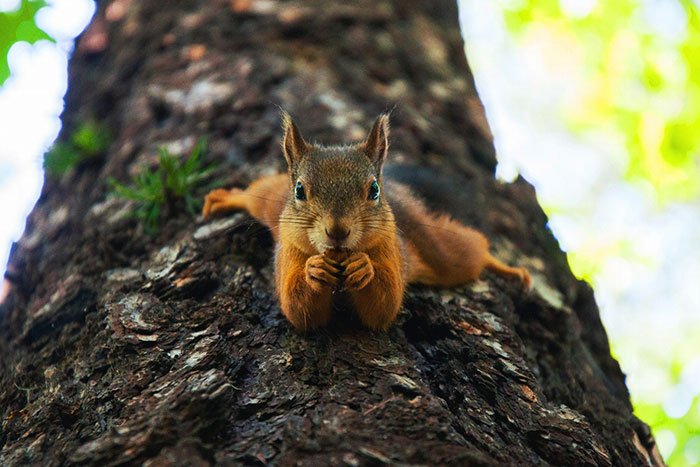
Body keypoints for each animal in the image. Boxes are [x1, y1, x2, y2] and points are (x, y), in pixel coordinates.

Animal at [202, 112, 532, 332]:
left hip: (439, 252)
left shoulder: (390, 251)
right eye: (299, 190)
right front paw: (314, 270)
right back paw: (225, 198)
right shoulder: (289, 255)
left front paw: (365, 268)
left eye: (373, 190)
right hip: (269, 201)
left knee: (469, 251)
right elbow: (298, 310)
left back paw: (508, 269)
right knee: (255, 194)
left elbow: (384, 306)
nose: (337, 231)